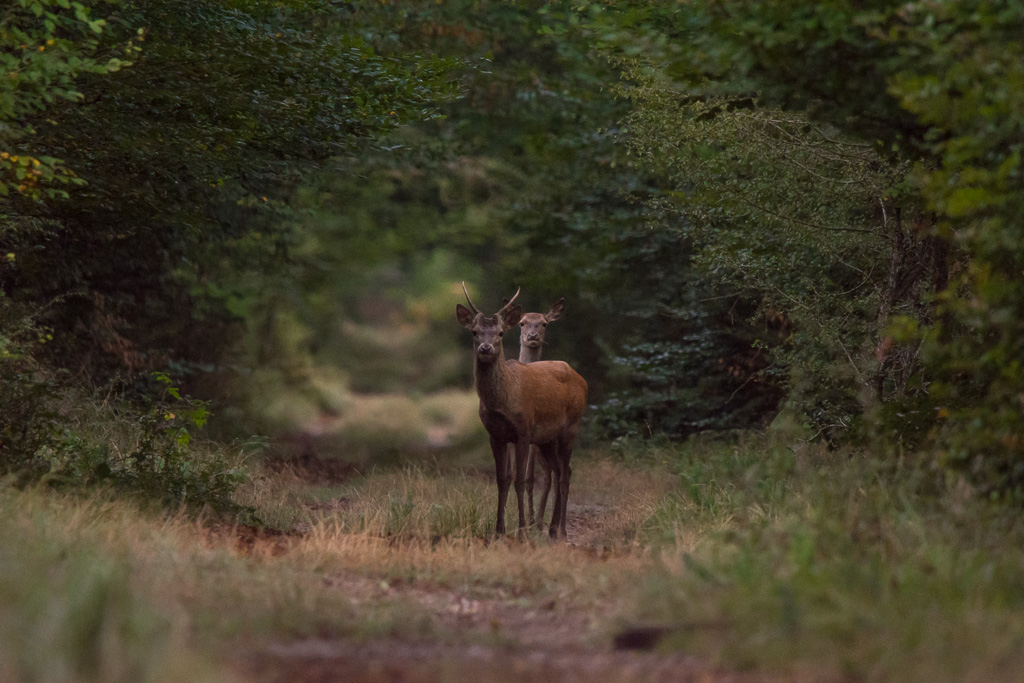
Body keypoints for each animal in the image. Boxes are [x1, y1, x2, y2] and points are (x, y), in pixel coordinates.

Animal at [456, 284, 586, 539]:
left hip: (571, 427)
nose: (485, 348)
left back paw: (562, 530)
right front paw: (499, 530)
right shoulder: (496, 434)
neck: (503, 400)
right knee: (560, 470)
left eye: (500, 333)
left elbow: (519, 479)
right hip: (547, 438)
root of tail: (583, 380)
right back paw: (552, 528)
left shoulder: (524, 431)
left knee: (565, 473)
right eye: (474, 332)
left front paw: (522, 530)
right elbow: (502, 479)